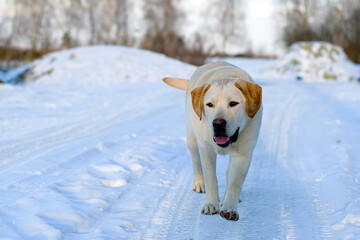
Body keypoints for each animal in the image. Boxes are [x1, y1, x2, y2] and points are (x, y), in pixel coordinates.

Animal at [163, 61, 262, 220]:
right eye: (209, 104)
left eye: (233, 103)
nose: (218, 123)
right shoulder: (206, 149)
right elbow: (211, 178)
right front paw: (210, 204)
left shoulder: (243, 153)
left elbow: (235, 182)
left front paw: (229, 208)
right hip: (192, 140)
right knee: (196, 162)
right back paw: (199, 184)